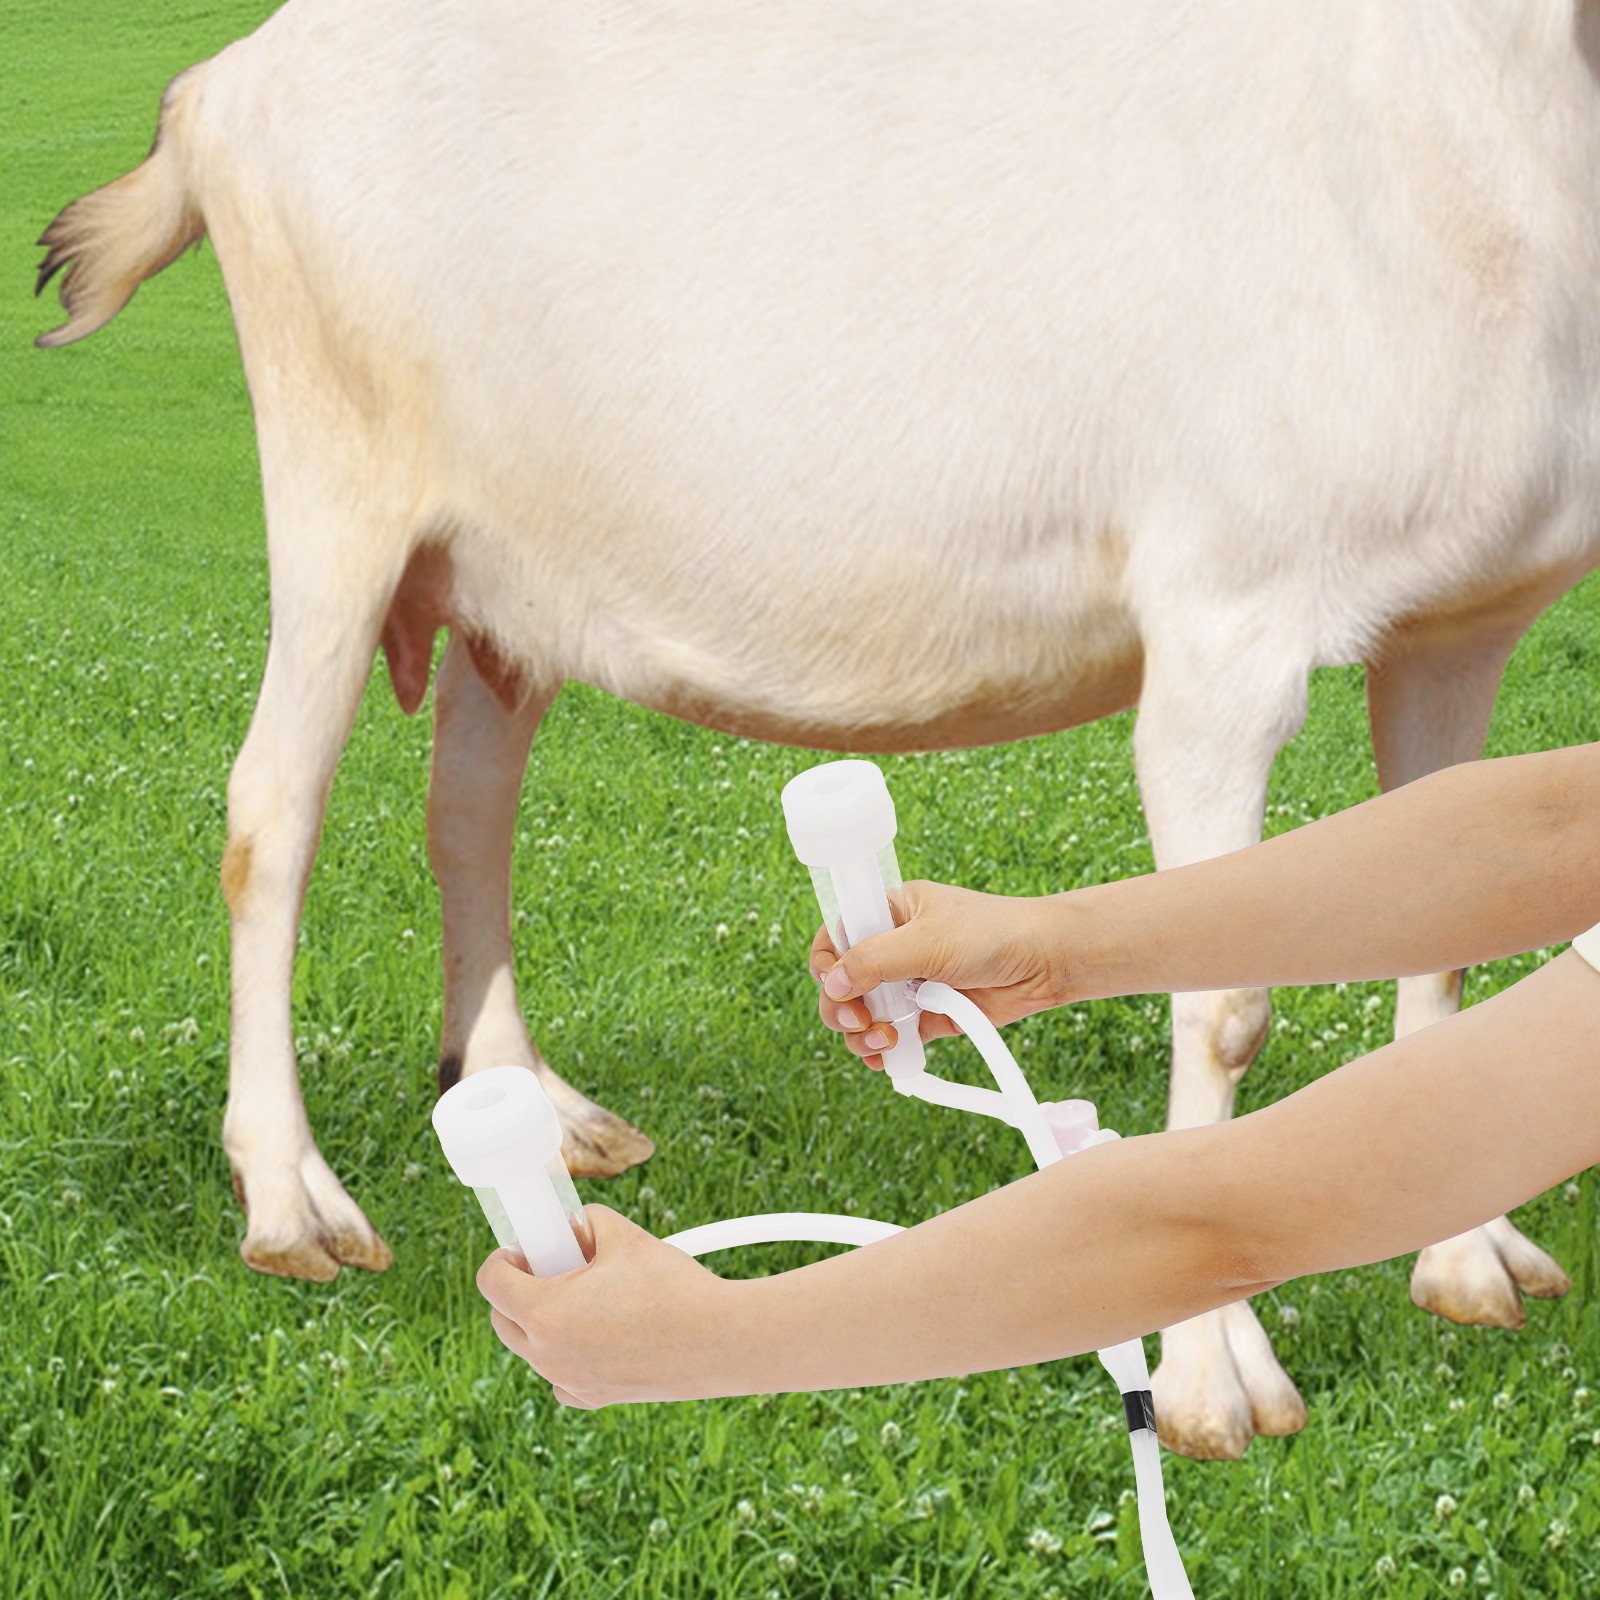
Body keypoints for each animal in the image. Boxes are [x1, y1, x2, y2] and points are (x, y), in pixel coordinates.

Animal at [37, 0, 1600, 1459]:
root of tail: (221, 83)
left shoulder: (1462, 622)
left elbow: (1446, 922)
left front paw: (1469, 1263)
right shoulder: (1227, 618)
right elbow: (1226, 1005)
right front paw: (1219, 1377)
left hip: (499, 564)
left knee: (466, 812)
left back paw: (534, 1107)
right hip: (338, 478)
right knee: (271, 816)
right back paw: (290, 1198)